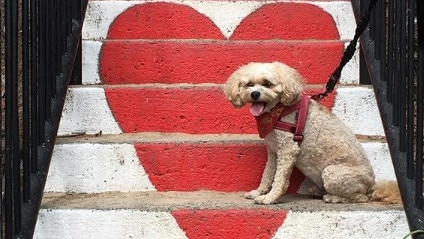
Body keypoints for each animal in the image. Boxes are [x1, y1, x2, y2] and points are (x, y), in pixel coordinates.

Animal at [222, 61, 400, 204]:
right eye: (249, 84)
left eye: (267, 83)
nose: (255, 94)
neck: (279, 111)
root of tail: (371, 186)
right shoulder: (273, 151)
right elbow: (268, 174)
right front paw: (259, 192)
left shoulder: (288, 150)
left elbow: (279, 177)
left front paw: (270, 197)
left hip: (332, 173)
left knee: (360, 197)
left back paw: (332, 197)